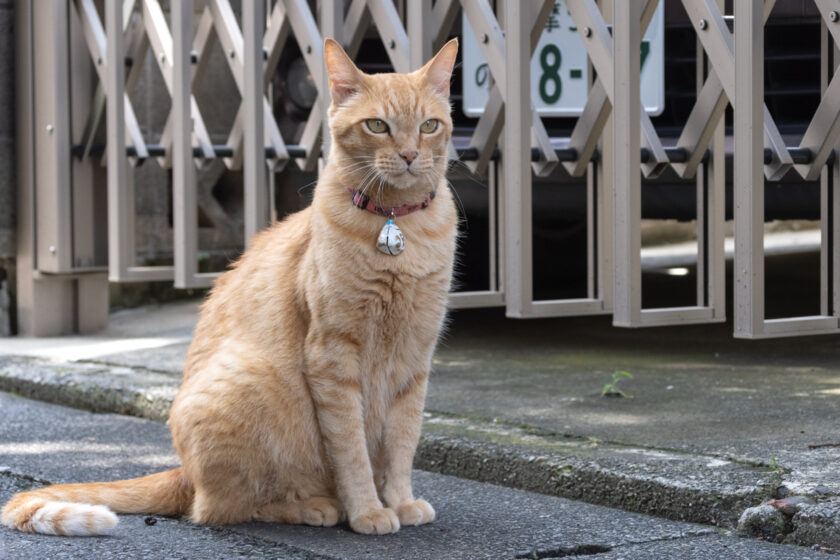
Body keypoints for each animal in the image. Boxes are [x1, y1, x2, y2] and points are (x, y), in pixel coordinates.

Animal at [1, 38, 460, 540]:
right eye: (378, 125)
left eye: (429, 126)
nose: (411, 155)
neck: (397, 229)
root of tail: (183, 470)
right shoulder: (333, 358)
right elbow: (352, 449)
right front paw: (368, 511)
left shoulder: (415, 360)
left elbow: (402, 443)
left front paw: (400, 501)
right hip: (248, 386)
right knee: (221, 508)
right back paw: (317, 507)